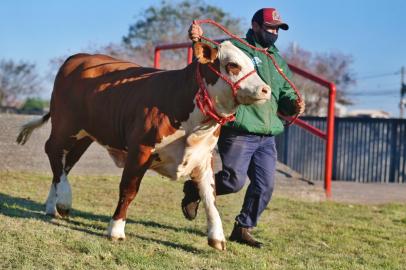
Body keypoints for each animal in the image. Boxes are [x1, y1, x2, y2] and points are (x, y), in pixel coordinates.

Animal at [16, 41, 270, 250]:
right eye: (232, 65)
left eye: (254, 65)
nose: (266, 90)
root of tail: (79, 57)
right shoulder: (140, 149)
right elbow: (129, 189)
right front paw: (116, 229)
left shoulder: (204, 157)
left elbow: (210, 196)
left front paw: (216, 236)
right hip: (65, 125)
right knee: (52, 151)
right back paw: (64, 200)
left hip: (85, 135)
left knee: (64, 163)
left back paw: (53, 204)